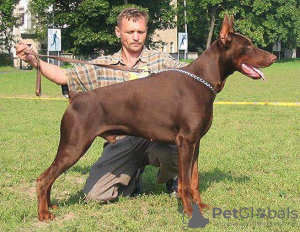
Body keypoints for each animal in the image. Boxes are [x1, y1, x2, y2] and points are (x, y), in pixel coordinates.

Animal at [35, 15, 276, 220]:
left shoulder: (196, 142)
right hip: (74, 145)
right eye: (247, 45)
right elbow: (185, 183)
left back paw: (50, 206)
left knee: (49, 177)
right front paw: (189, 212)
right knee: (44, 178)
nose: (273, 57)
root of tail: (75, 97)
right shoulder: (185, 141)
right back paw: (44, 214)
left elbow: (194, 180)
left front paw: (200, 205)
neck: (202, 80)